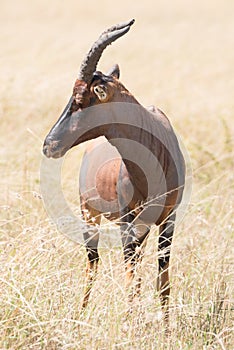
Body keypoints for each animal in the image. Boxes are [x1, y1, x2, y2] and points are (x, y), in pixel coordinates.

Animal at [43, 19, 186, 320]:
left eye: (80, 97)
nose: (48, 145)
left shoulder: (169, 220)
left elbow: (163, 283)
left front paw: (166, 329)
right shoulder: (126, 221)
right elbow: (131, 282)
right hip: (90, 214)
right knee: (92, 264)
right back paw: (80, 316)